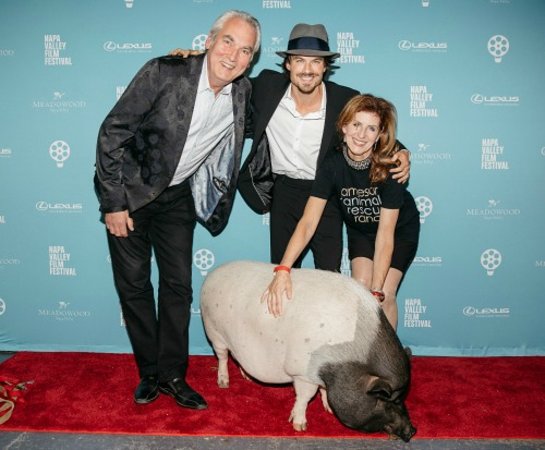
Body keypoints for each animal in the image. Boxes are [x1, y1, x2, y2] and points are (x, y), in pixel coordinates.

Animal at [200, 260, 416, 440]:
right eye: (388, 400)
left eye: (402, 397)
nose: (413, 431)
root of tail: (211, 275)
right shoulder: (302, 372)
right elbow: (306, 396)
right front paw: (300, 426)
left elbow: (323, 390)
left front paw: (329, 409)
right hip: (213, 330)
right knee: (222, 356)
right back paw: (223, 383)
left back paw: (246, 377)